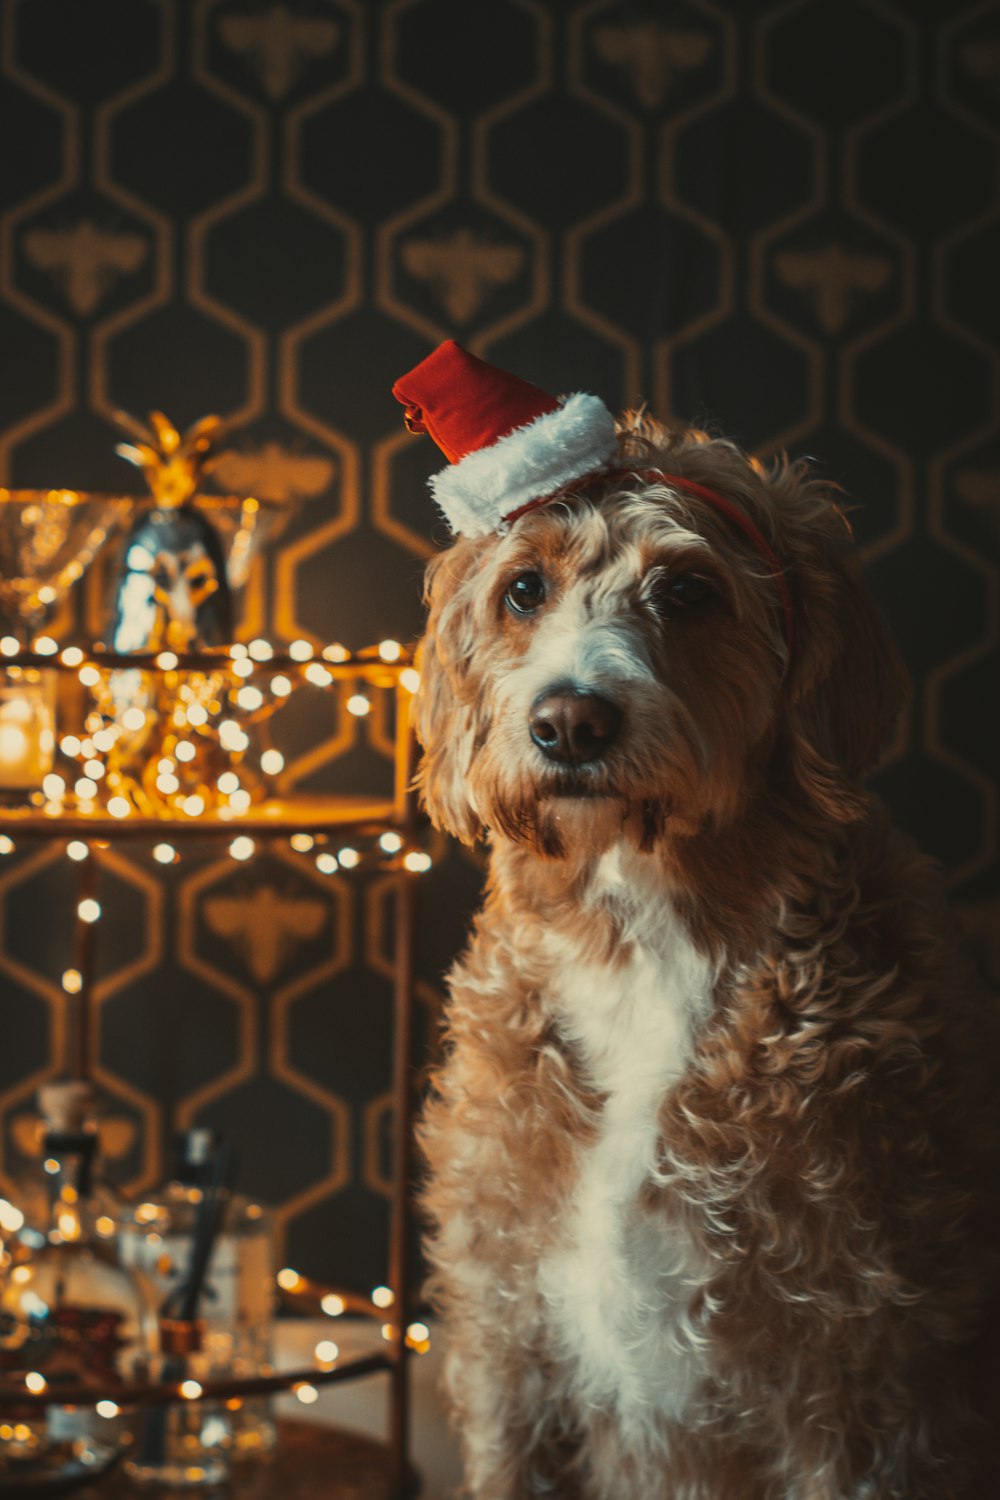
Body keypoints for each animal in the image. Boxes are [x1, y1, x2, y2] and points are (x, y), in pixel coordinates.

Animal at [398, 343, 1000, 1500]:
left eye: (685, 590)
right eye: (525, 588)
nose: (570, 721)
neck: (642, 931)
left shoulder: (855, 1368)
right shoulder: (507, 1339)